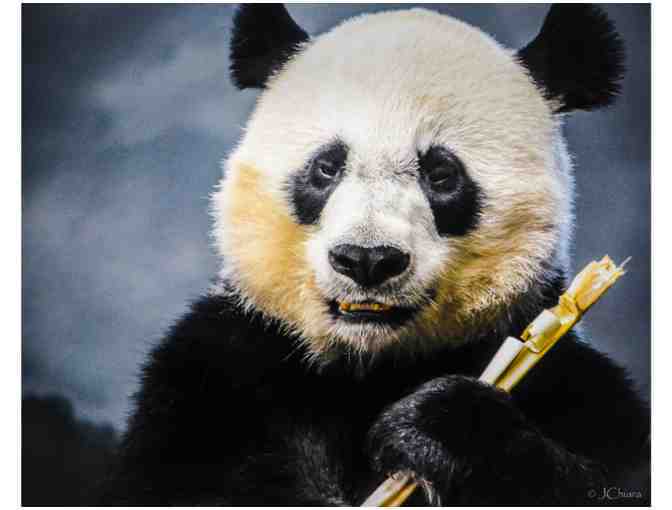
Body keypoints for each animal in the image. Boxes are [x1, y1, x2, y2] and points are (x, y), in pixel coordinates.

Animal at [102, 4, 649, 506]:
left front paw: (438, 429)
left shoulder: (568, 381)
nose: (367, 259)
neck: (368, 367)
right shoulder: (219, 369)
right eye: (326, 167)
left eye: (441, 174)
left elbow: (613, 476)